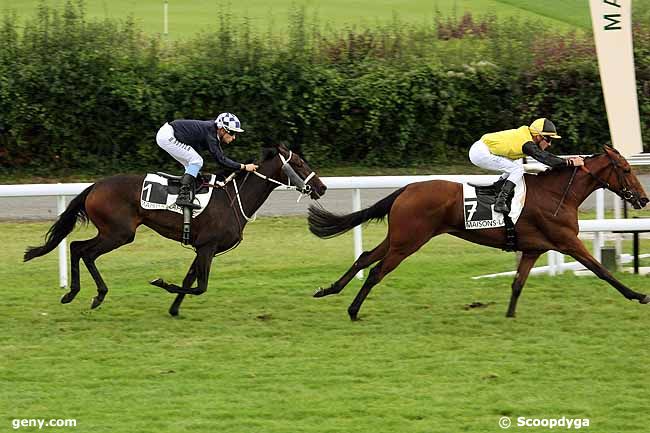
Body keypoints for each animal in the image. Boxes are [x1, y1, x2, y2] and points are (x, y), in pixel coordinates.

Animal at [26, 143, 324, 316]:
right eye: (298, 163)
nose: (321, 187)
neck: (232, 200)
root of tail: (94, 186)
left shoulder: (202, 248)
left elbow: (190, 280)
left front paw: (174, 308)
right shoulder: (208, 247)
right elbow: (200, 287)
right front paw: (160, 283)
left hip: (113, 233)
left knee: (77, 247)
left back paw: (73, 293)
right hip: (119, 234)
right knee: (83, 250)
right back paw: (94, 295)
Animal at [308, 147, 648, 318]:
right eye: (626, 170)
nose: (643, 199)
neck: (557, 195)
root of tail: (406, 188)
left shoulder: (533, 249)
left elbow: (517, 283)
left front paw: (509, 315)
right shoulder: (568, 242)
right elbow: (601, 270)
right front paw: (638, 295)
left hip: (398, 238)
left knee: (365, 257)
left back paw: (329, 290)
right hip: (408, 243)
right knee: (377, 271)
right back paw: (353, 310)